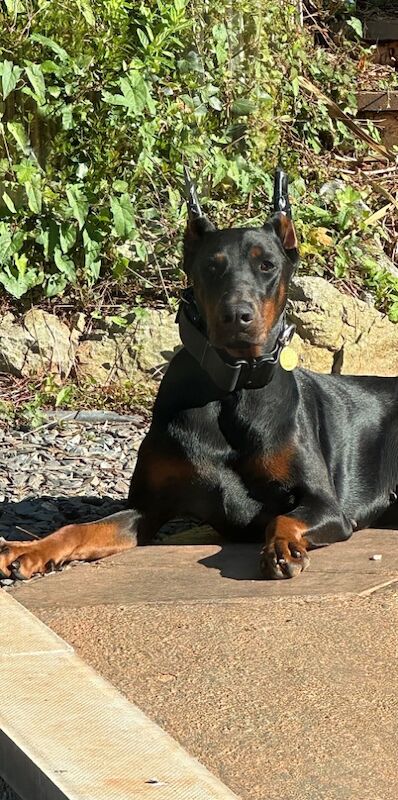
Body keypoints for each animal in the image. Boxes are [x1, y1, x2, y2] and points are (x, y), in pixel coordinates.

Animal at [0, 169, 398, 580]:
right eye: (211, 266)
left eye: (267, 265)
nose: (236, 315)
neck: (233, 389)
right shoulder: (146, 507)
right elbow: (80, 528)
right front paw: (30, 549)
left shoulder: (325, 505)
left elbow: (282, 519)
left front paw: (282, 548)